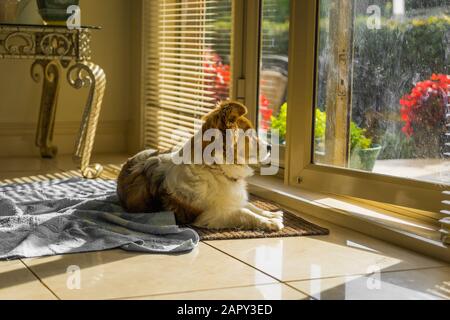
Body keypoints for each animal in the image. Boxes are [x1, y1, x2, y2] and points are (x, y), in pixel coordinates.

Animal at [117, 100, 284, 230]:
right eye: (250, 136)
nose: (270, 147)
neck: (215, 169)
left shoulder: (230, 199)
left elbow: (250, 206)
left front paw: (270, 214)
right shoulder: (210, 214)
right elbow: (243, 212)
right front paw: (269, 222)